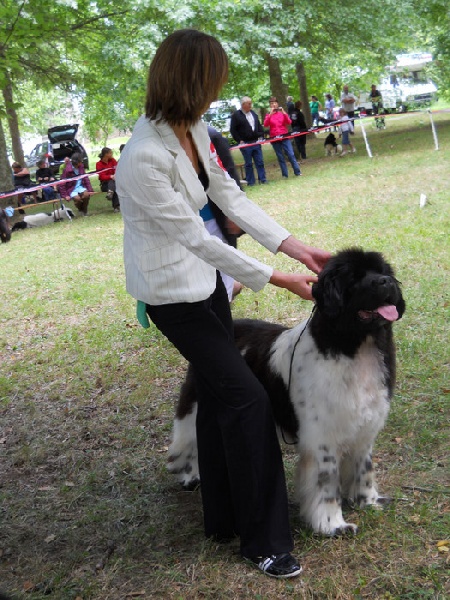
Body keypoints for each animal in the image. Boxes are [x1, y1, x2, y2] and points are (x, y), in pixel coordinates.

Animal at [167, 248, 406, 536]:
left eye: (383, 271)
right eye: (355, 277)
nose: (386, 281)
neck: (354, 347)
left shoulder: (364, 425)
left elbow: (364, 467)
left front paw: (367, 501)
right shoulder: (322, 436)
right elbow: (326, 481)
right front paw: (332, 524)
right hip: (197, 402)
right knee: (187, 438)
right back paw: (190, 475)